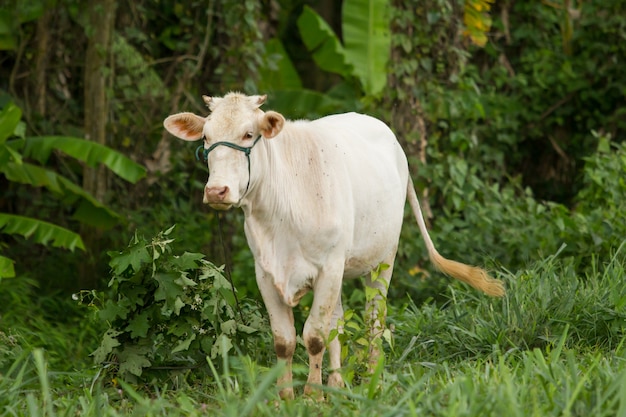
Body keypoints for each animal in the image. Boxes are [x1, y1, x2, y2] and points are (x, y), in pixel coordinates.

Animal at [163, 92, 504, 398]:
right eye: (206, 137)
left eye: (248, 134)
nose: (216, 191)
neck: (280, 214)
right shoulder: (266, 272)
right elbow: (285, 340)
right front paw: (286, 397)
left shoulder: (328, 267)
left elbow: (314, 336)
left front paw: (313, 396)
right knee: (337, 323)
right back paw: (338, 383)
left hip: (383, 259)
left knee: (373, 319)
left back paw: (371, 378)